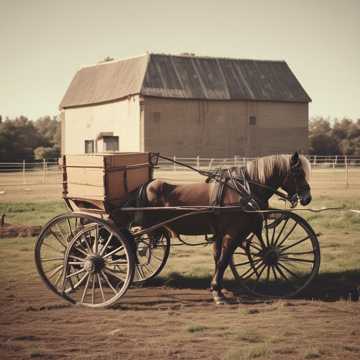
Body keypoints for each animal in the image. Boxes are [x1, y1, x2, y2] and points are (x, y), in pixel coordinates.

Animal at [125, 152, 310, 304]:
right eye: (298, 173)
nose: (307, 197)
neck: (243, 191)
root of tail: (146, 186)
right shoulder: (232, 234)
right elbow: (223, 261)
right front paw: (217, 293)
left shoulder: (220, 234)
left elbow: (218, 259)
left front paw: (218, 287)